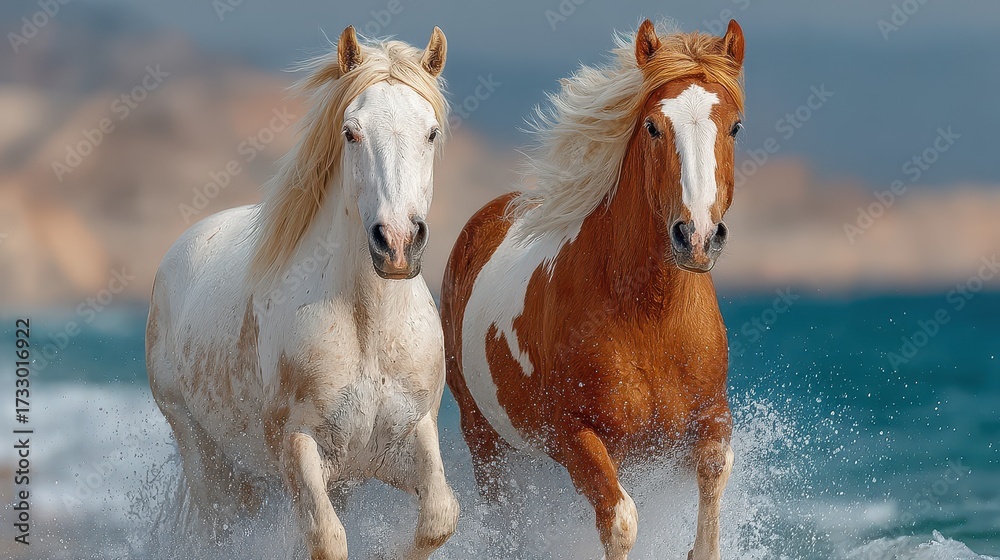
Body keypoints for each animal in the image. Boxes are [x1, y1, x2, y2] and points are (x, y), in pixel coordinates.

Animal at [146, 26, 459, 560]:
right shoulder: (298, 446)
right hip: (208, 460)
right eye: (351, 132)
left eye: (431, 132)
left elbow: (438, 517)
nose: (397, 243)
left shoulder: (408, 436)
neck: (367, 325)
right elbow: (326, 539)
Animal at [441, 19, 746, 560]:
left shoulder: (709, 419)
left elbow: (714, 474)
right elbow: (620, 521)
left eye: (734, 127)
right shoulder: (578, 436)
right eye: (652, 127)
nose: (696, 237)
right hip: (484, 438)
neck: (650, 317)